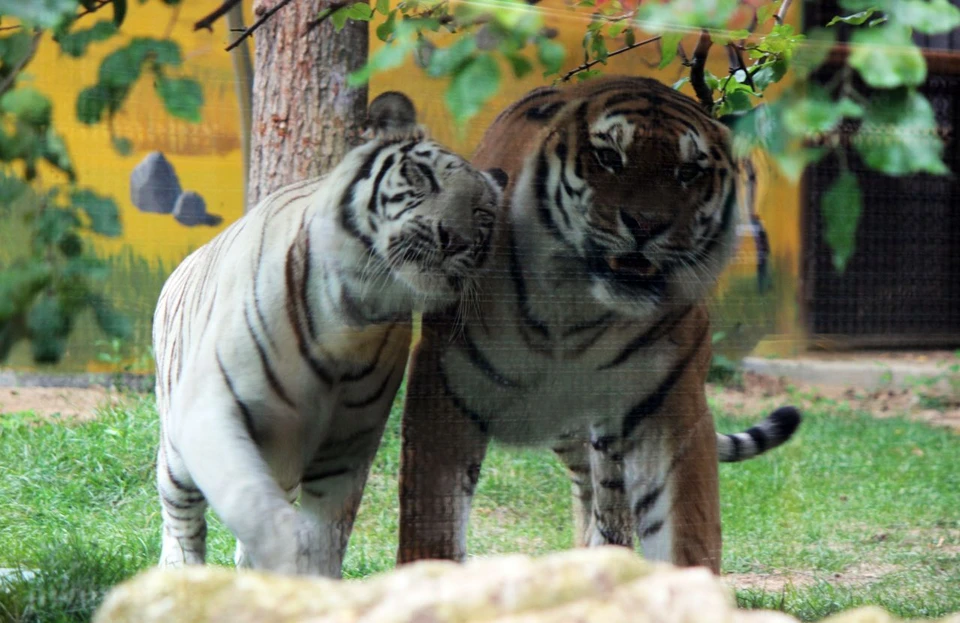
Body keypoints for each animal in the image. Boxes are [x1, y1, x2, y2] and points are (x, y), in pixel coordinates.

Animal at [152, 91, 502, 576]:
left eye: (482, 213)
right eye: (423, 176)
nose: (454, 239)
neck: (351, 316)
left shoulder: (346, 447)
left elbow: (326, 535)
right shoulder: (212, 409)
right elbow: (251, 504)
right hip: (177, 447)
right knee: (180, 515)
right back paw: (179, 570)